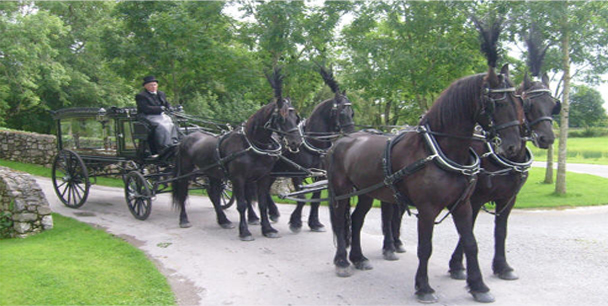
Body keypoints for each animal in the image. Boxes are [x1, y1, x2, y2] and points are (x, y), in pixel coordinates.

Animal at [171, 69, 302, 241]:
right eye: (281, 117)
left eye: (296, 118)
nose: (296, 142)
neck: (251, 145)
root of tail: (185, 138)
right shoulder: (238, 178)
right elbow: (242, 205)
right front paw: (245, 231)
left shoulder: (263, 177)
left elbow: (262, 204)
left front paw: (267, 229)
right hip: (185, 172)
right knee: (183, 192)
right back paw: (184, 219)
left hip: (212, 173)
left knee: (213, 194)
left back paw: (223, 220)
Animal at [328, 62, 524, 304]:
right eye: (498, 102)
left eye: (518, 101)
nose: (513, 146)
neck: (436, 150)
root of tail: (341, 141)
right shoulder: (427, 209)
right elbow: (425, 248)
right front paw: (424, 287)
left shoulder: (463, 205)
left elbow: (470, 243)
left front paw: (478, 286)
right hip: (341, 191)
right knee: (339, 222)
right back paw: (342, 261)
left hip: (366, 192)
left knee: (356, 220)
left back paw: (358, 258)